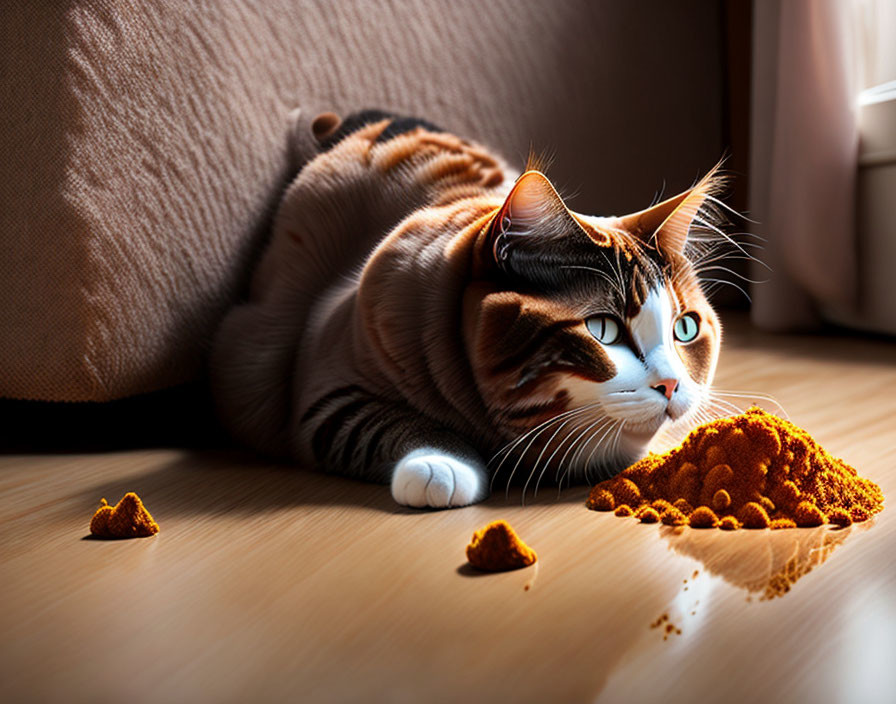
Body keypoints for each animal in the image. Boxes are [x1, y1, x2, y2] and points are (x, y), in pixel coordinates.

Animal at [208, 108, 720, 506]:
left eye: (685, 328)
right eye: (603, 330)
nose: (672, 384)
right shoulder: (326, 387)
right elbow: (386, 423)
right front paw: (441, 466)